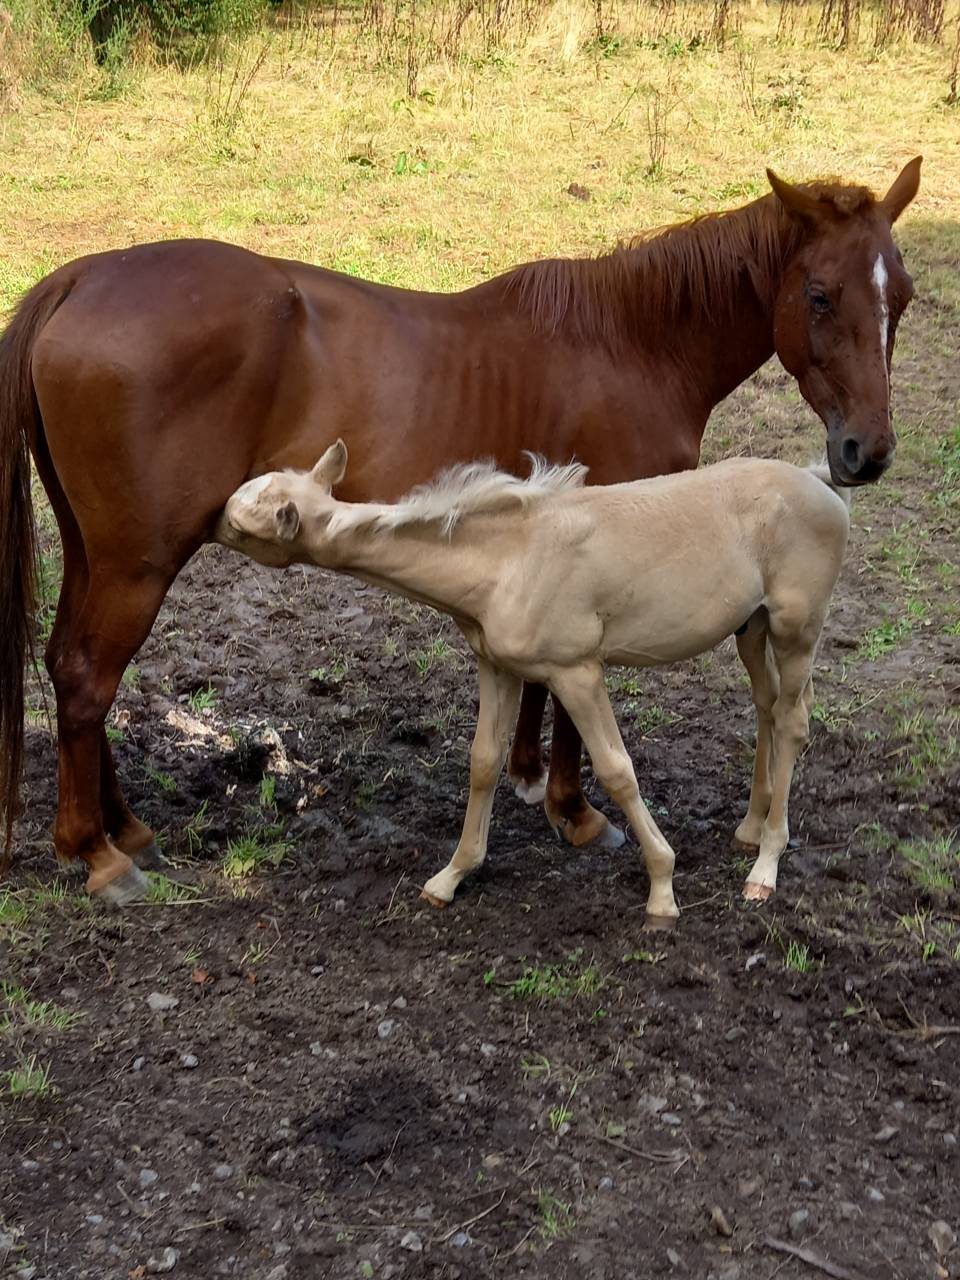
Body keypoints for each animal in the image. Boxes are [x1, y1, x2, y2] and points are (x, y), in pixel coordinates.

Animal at [218, 441, 852, 927]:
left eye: (240, 523)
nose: (206, 521)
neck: (506, 559)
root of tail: (821, 484)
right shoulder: (497, 667)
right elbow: (483, 761)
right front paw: (450, 876)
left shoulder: (577, 672)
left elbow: (616, 770)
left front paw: (662, 889)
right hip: (753, 628)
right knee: (767, 706)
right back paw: (750, 826)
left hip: (797, 629)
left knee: (793, 720)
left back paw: (765, 865)